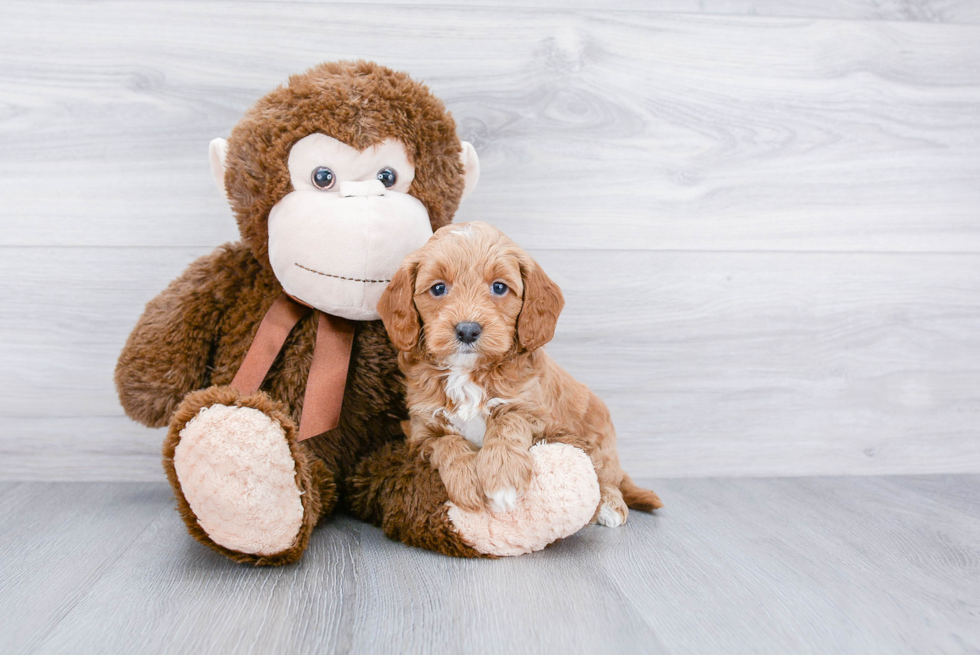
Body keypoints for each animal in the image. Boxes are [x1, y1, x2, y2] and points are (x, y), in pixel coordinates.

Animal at [378, 223, 664, 524]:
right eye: (438, 288)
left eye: (499, 287)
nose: (467, 330)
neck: (468, 372)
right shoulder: (422, 431)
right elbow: (447, 443)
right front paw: (466, 484)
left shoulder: (535, 412)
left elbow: (508, 421)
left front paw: (502, 478)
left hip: (600, 435)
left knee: (608, 475)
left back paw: (610, 504)